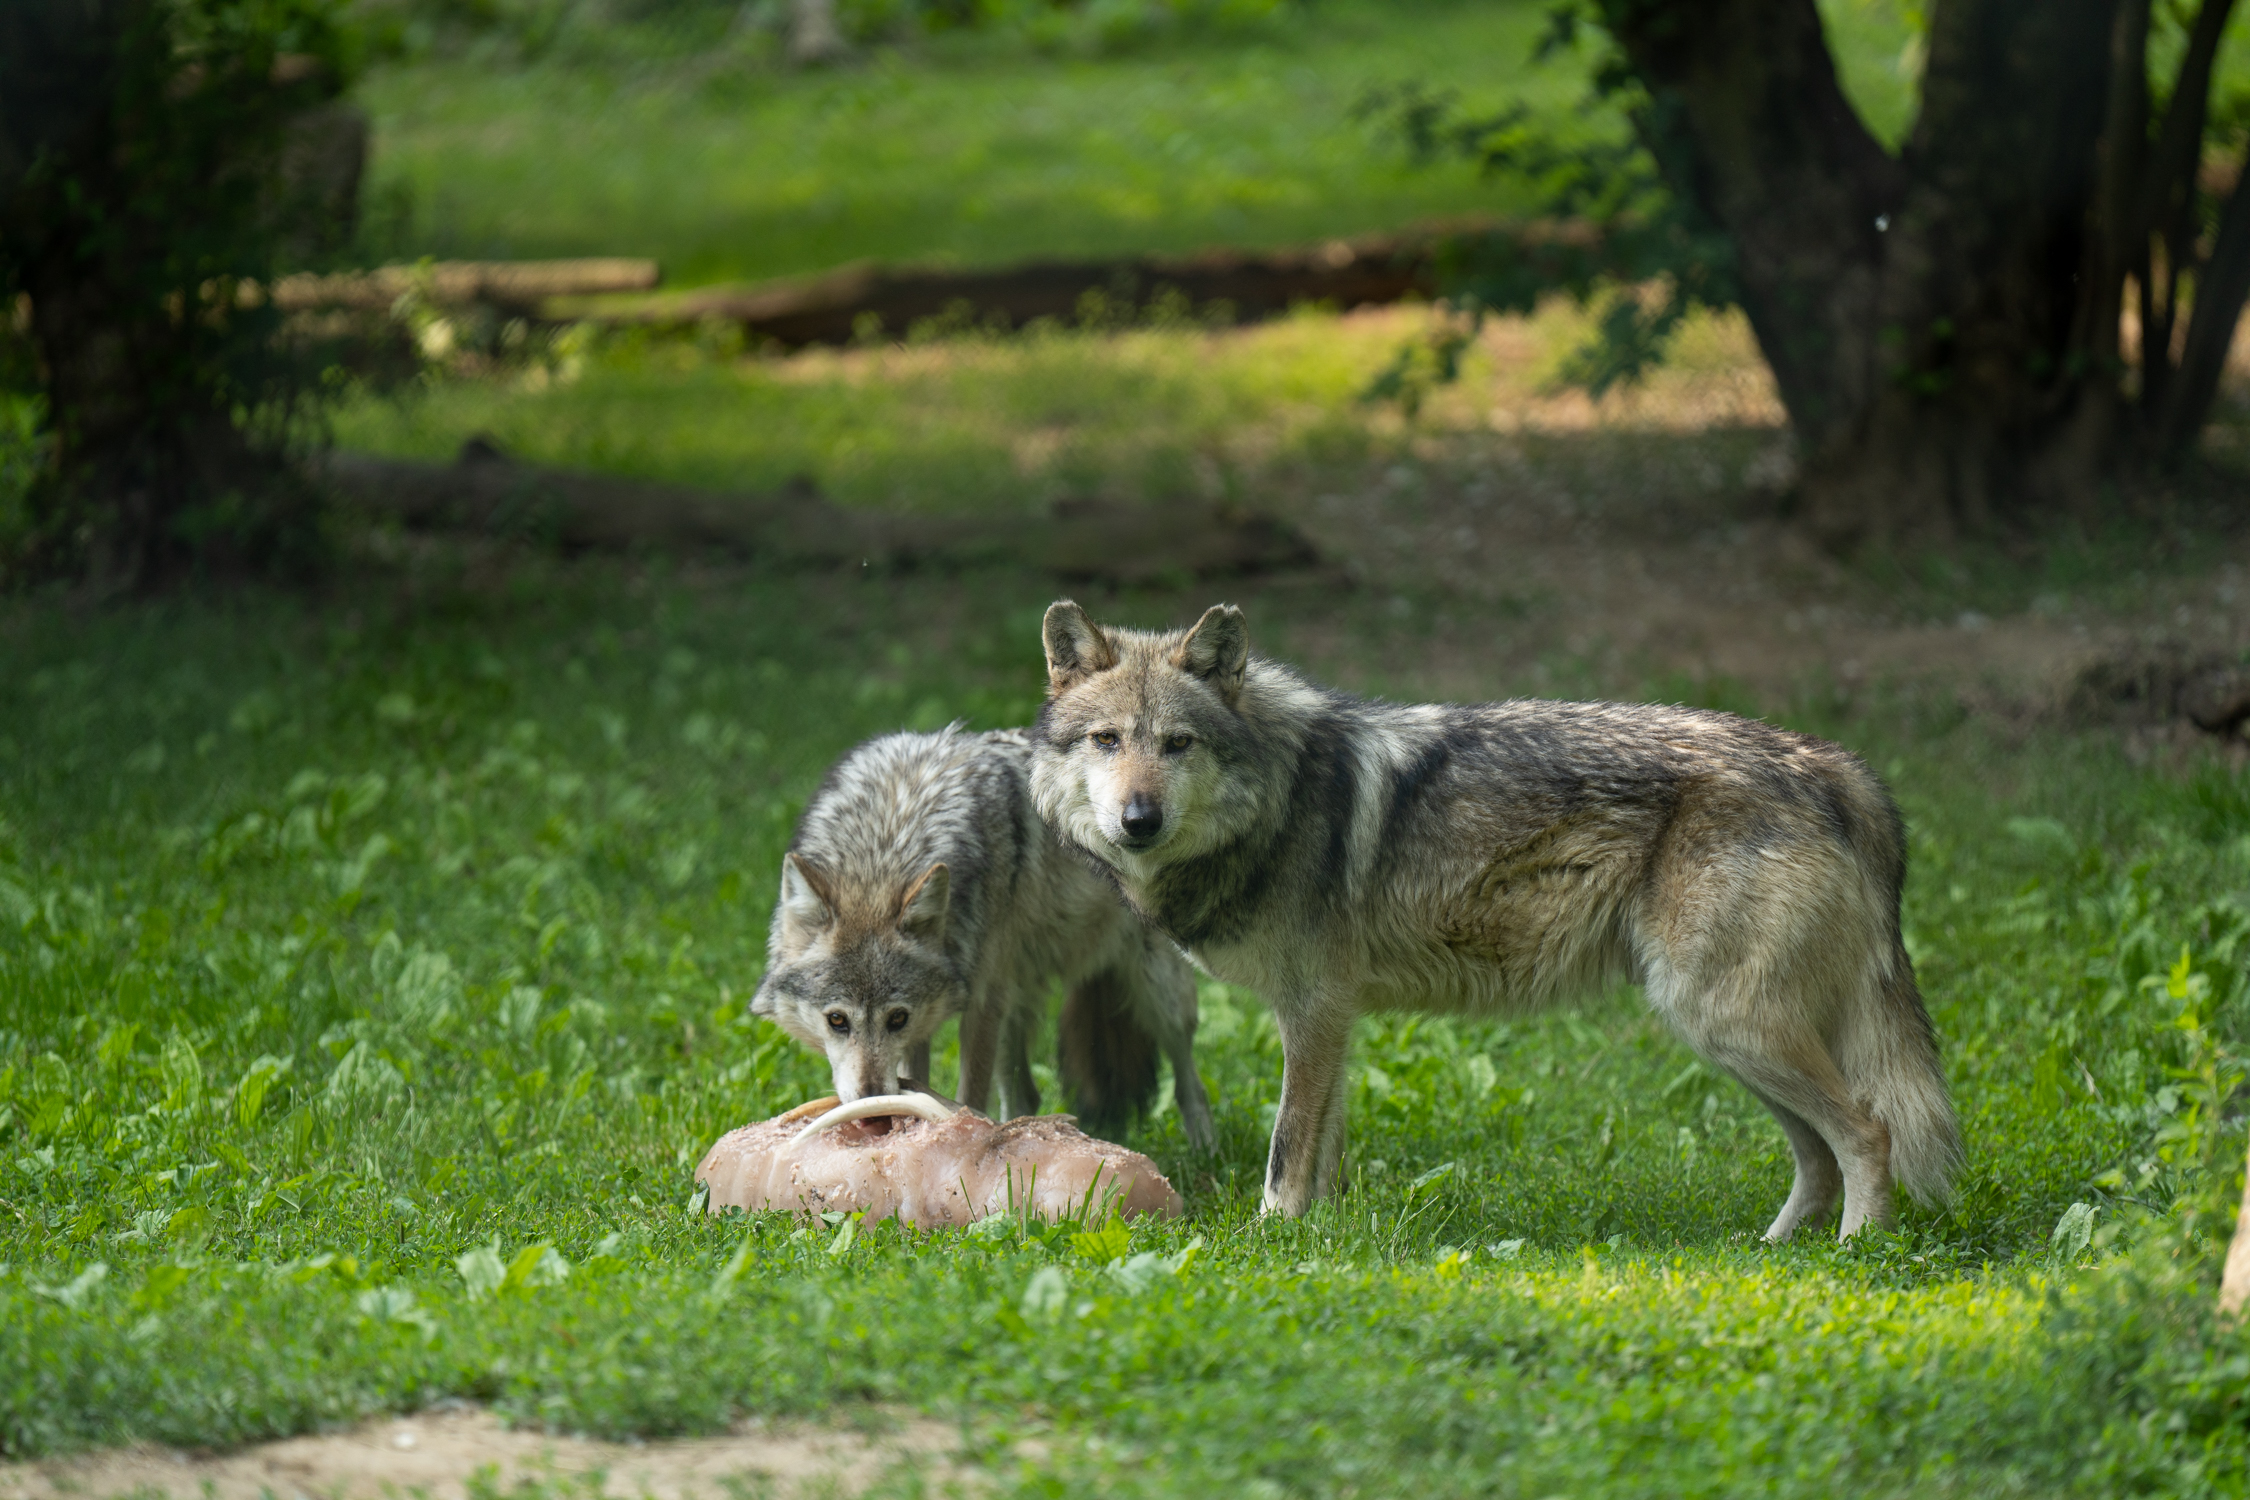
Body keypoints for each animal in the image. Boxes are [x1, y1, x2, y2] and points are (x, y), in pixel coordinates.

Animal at [750, 725, 1215, 1150]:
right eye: (837, 1020)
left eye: (896, 1018)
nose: (874, 1111)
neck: (885, 843)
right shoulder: (936, 1022)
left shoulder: (978, 1002)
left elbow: (969, 1094)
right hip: (1016, 1003)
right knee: (1027, 1095)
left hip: (1155, 992)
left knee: (1188, 1078)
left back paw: (1204, 1151)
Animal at [1028, 600, 1962, 1238]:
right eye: (1107, 741)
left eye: (1177, 743)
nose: (1138, 820)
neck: (1279, 797)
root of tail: (1832, 764)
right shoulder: (1334, 1019)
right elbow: (1324, 1149)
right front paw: (1324, 1238)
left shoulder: (1313, 1012)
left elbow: (1287, 1149)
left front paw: (1272, 1241)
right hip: (1727, 1036)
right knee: (1819, 1156)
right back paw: (1772, 1255)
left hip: (1729, 1024)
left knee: (1868, 1132)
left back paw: (1855, 1256)